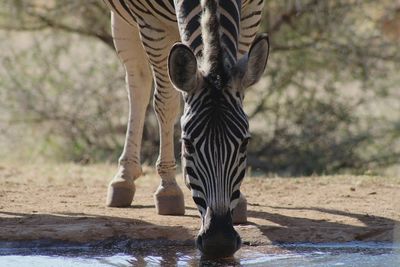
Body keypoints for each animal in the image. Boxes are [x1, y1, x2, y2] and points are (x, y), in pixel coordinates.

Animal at [103, 0, 270, 258]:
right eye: (188, 144)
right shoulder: (152, 24)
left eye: (245, 143)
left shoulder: (253, 12)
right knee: (138, 84)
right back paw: (124, 178)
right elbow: (166, 102)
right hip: (124, 18)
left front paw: (241, 199)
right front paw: (168, 189)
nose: (219, 242)